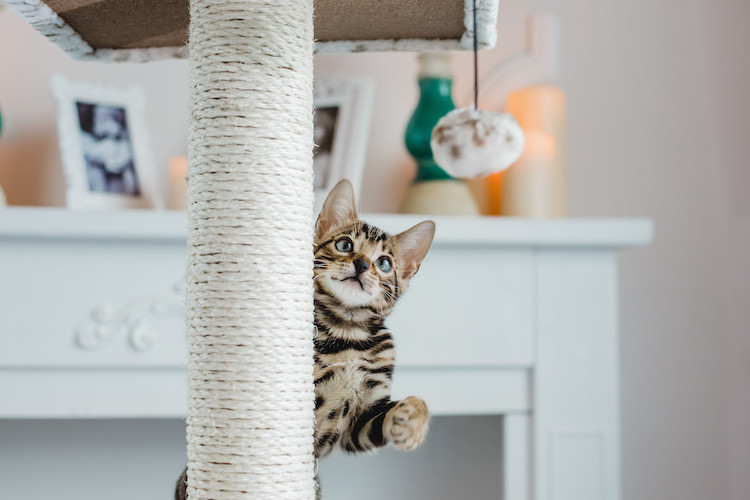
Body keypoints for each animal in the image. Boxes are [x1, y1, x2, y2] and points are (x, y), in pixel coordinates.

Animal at [176, 179, 434, 496]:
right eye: (345, 245)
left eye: (384, 263)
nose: (362, 264)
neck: (347, 332)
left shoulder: (359, 422)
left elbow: (389, 415)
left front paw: (412, 421)